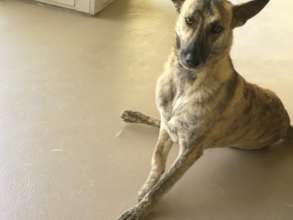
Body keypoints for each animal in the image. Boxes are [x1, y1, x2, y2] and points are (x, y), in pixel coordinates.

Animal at [117, 0, 288, 219]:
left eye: (217, 28)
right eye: (189, 20)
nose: (191, 60)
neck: (183, 82)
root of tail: (287, 123)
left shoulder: (191, 151)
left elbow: (163, 185)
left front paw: (141, 209)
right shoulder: (166, 129)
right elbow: (157, 162)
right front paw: (146, 188)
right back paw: (134, 115)